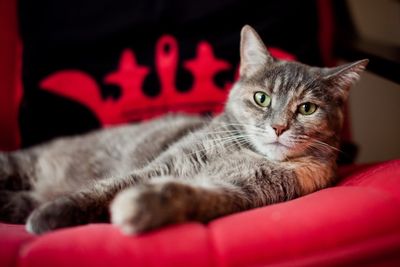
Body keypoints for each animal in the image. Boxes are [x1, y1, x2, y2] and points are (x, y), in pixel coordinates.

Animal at [0, 25, 368, 234]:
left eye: (306, 108)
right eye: (261, 99)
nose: (278, 127)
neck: (248, 152)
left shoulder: (237, 191)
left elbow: (186, 196)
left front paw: (142, 208)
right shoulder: (164, 164)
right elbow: (105, 189)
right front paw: (51, 216)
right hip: (20, 164)